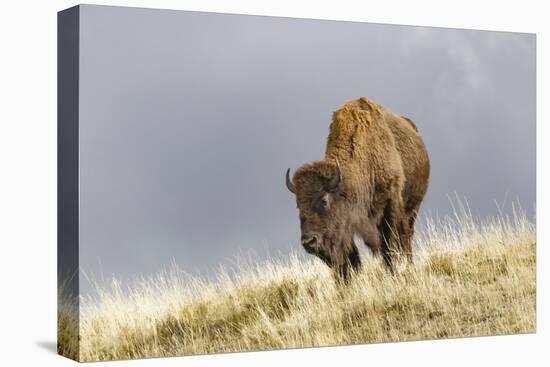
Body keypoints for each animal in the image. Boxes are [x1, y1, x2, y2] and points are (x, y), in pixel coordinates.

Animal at [286, 98, 434, 278]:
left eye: (324, 200)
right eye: (298, 205)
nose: (309, 242)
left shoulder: (391, 203)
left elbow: (390, 243)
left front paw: (392, 270)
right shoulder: (347, 223)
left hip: (412, 208)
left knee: (407, 236)